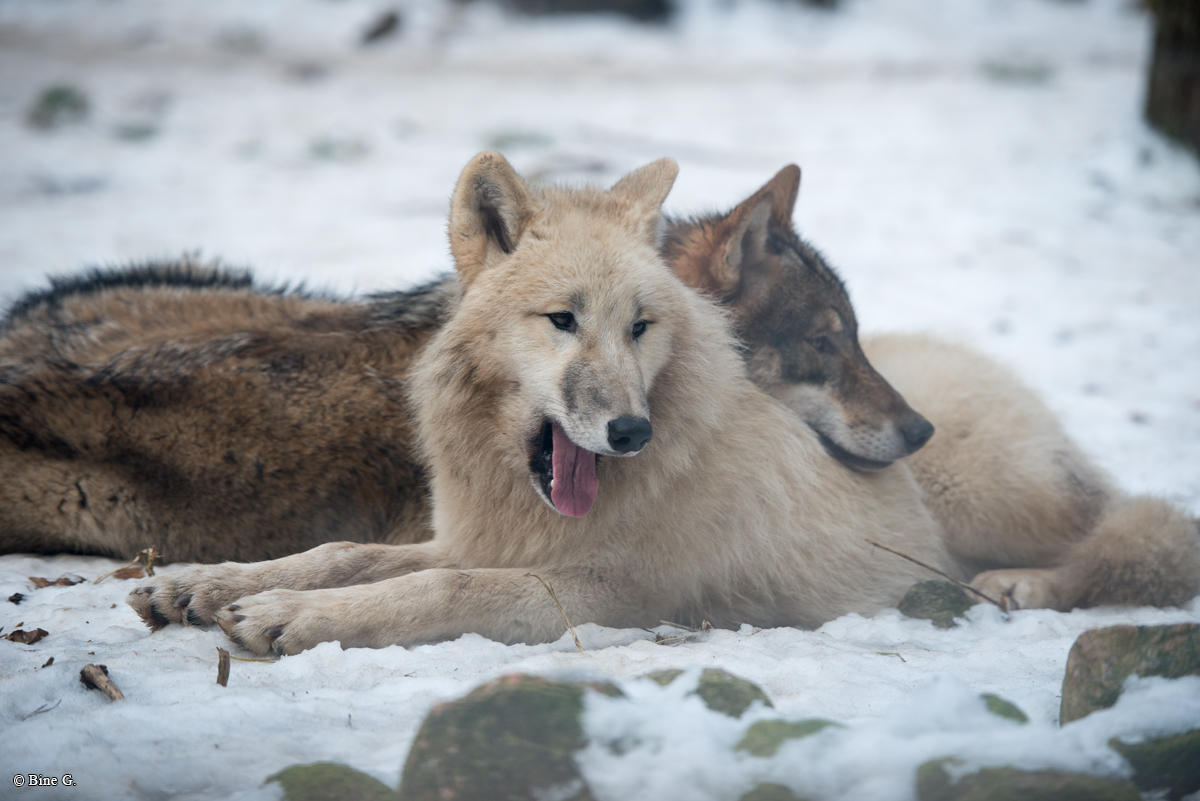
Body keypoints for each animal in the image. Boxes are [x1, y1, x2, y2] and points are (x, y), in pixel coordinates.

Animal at [123, 153, 1198, 656]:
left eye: (642, 326)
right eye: (562, 320)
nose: (631, 430)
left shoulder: (612, 591)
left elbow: (441, 591)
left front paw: (288, 618)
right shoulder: (478, 537)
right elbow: (346, 551)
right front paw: (210, 584)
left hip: (981, 498)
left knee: (1136, 538)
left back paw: (1019, 587)